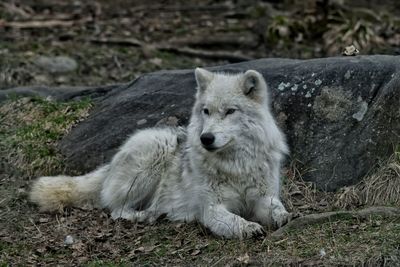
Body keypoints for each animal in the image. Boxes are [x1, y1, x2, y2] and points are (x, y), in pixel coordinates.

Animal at [29, 68, 290, 240]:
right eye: (206, 111)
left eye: (230, 111)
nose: (205, 138)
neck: (236, 165)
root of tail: (110, 164)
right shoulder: (210, 207)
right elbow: (232, 220)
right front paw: (248, 227)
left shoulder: (264, 196)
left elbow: (276, 208)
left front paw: (283, 216)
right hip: (155, 152)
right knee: (116, 210)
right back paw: (148, 215)